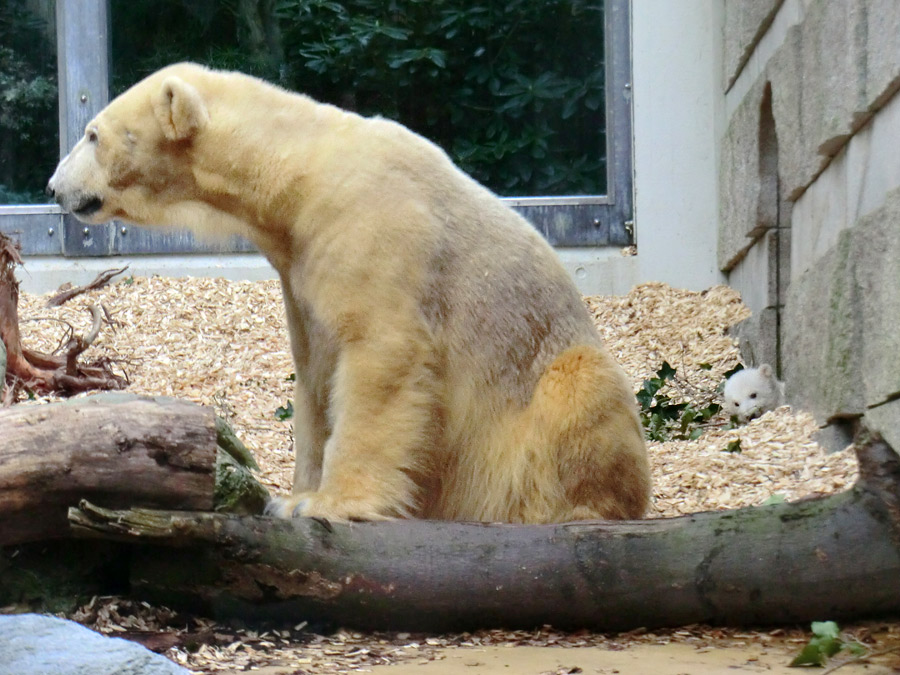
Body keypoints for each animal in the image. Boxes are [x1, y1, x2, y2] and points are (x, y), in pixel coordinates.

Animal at [45, 63, 652, 524]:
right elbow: (315, 378)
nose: (54, 188)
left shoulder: (375, 230)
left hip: (541, 386)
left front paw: (330, 502)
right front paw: (293, 497)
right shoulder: (300, 269)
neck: (301, 174)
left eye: (92, 134)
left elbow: (380, 356)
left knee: (578, 389)